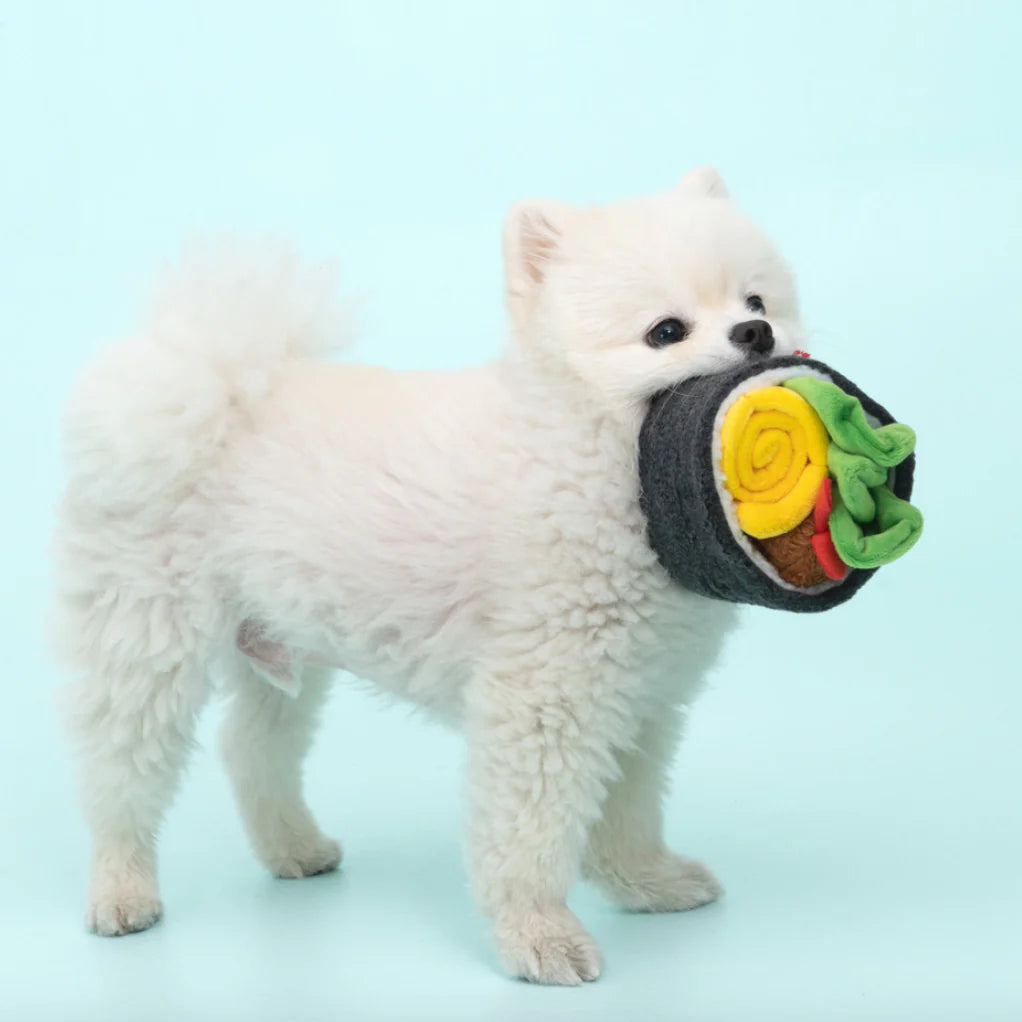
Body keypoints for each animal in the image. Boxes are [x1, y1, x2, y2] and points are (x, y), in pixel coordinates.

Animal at [53, 167, 805, 981]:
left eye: (757, 302)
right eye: (667, 331)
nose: (756, 335)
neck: (589, 455)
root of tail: (195, 383)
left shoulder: (640, 696)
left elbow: (627, 815)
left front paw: (648, 883)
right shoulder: (544, 701)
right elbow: (529, 834)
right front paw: (538, 935)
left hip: (282, 642)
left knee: (252, 748)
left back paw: (293, 846)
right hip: (147, 636)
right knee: (120, 771)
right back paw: (122, 887)